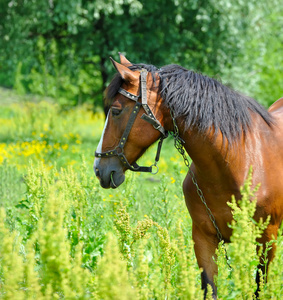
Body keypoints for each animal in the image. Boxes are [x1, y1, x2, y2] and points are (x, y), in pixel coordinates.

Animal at [95, 52, 283, 298]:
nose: (100, 168)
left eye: (116, 110)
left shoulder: (266, 241)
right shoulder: (203, 239)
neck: (236, 164)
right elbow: (209, 289)